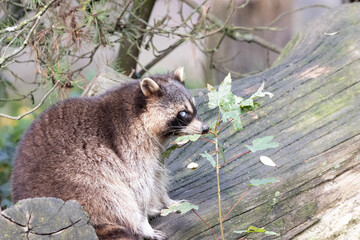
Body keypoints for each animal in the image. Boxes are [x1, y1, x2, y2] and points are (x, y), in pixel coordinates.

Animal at [11, 68, 210, 240]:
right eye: (183, 113)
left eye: (194, 108)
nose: (205, 129)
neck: (139, 113)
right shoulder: (130, 147)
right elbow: (138, 189)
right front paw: (143, 222)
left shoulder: (154, 151)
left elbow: (156, 177)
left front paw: (166, 200)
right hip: (80, 178)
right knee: (112, 196)